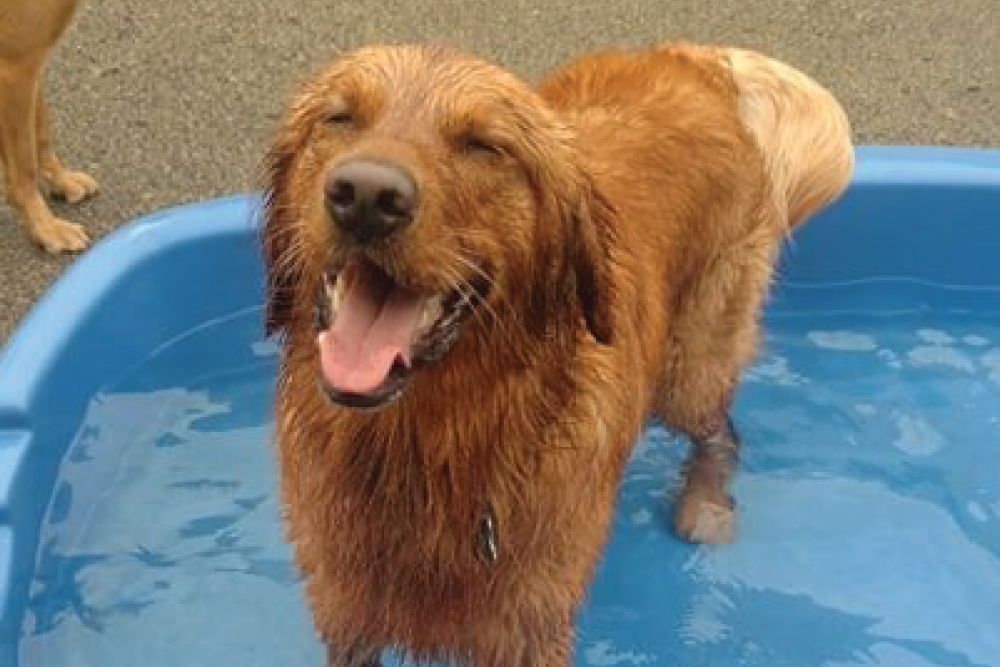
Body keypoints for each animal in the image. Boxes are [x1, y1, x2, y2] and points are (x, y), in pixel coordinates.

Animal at [0, 0, 97, 254]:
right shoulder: (15, 65)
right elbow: (25, 167)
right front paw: (45, 228)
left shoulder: (34, 60)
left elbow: (41, 132)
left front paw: (60, 180)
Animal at [260, 43, 852, 667]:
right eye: (339, 118)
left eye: (483, 144)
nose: (366, 198)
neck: (425, 446)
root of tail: (693, 61)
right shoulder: (345, 613)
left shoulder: (528, 627)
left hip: (691, 363)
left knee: (720, 429)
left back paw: (706, 506)